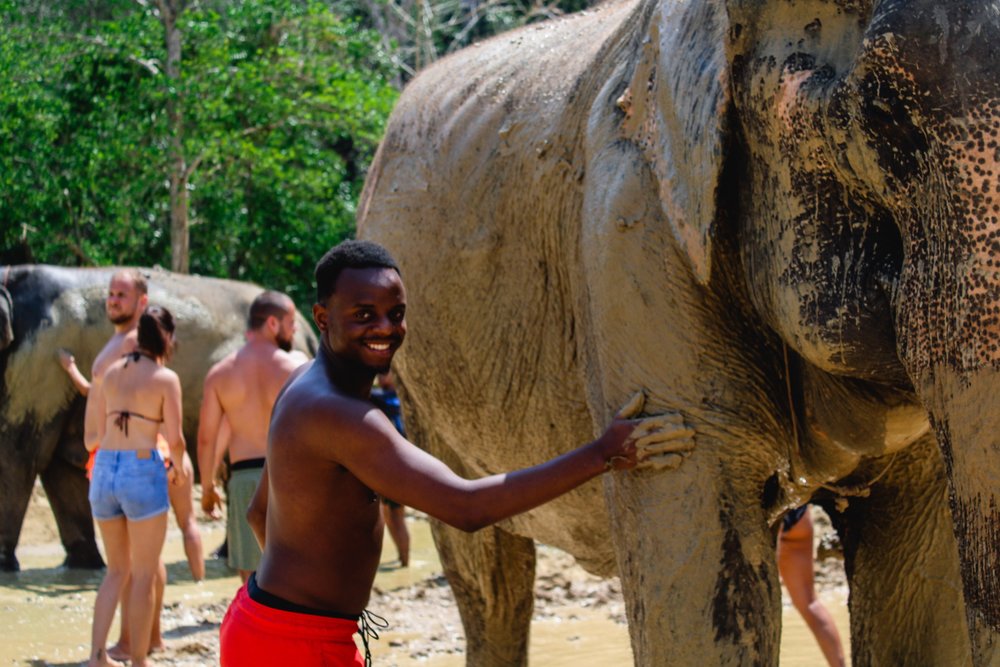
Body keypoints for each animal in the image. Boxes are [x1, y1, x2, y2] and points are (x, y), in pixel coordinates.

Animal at [0, 264, 317, 572]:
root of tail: (309, 333)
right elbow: (58, 469)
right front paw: (83, 566)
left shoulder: (39, 356)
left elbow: (18, 455)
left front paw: (6, 567)